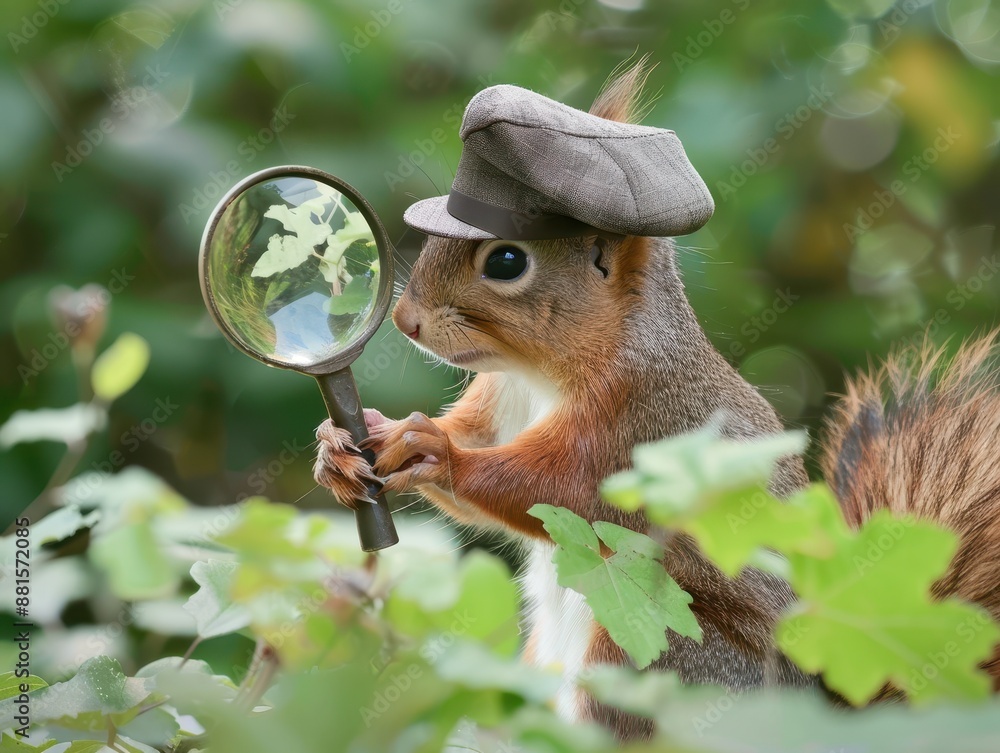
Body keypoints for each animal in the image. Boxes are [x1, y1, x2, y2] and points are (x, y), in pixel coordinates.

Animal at [313, 62, 1000, 740]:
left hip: (651, 654)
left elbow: (558, 489)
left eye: (506, 259)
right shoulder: (499, 397)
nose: (405, 319)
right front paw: (347, 441)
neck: (542, 374)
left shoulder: (640, 424)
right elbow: (477, 444)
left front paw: (434, 451)